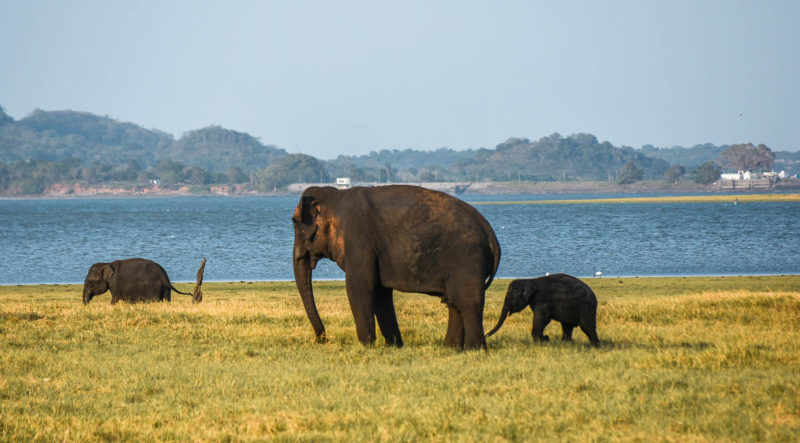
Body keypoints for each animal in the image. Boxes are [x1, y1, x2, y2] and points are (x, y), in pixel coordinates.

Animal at [290, 185, 496, 350]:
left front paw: (366, 346)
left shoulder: (358, 241)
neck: (336, 196)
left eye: (294, 222)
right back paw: (451, 348)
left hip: (467, 259)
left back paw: (474, 350)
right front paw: (394, 346)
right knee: (454, 302)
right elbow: (381, 293)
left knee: (468, 302)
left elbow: (359, 287)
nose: (323, 339)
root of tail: (489, 230)